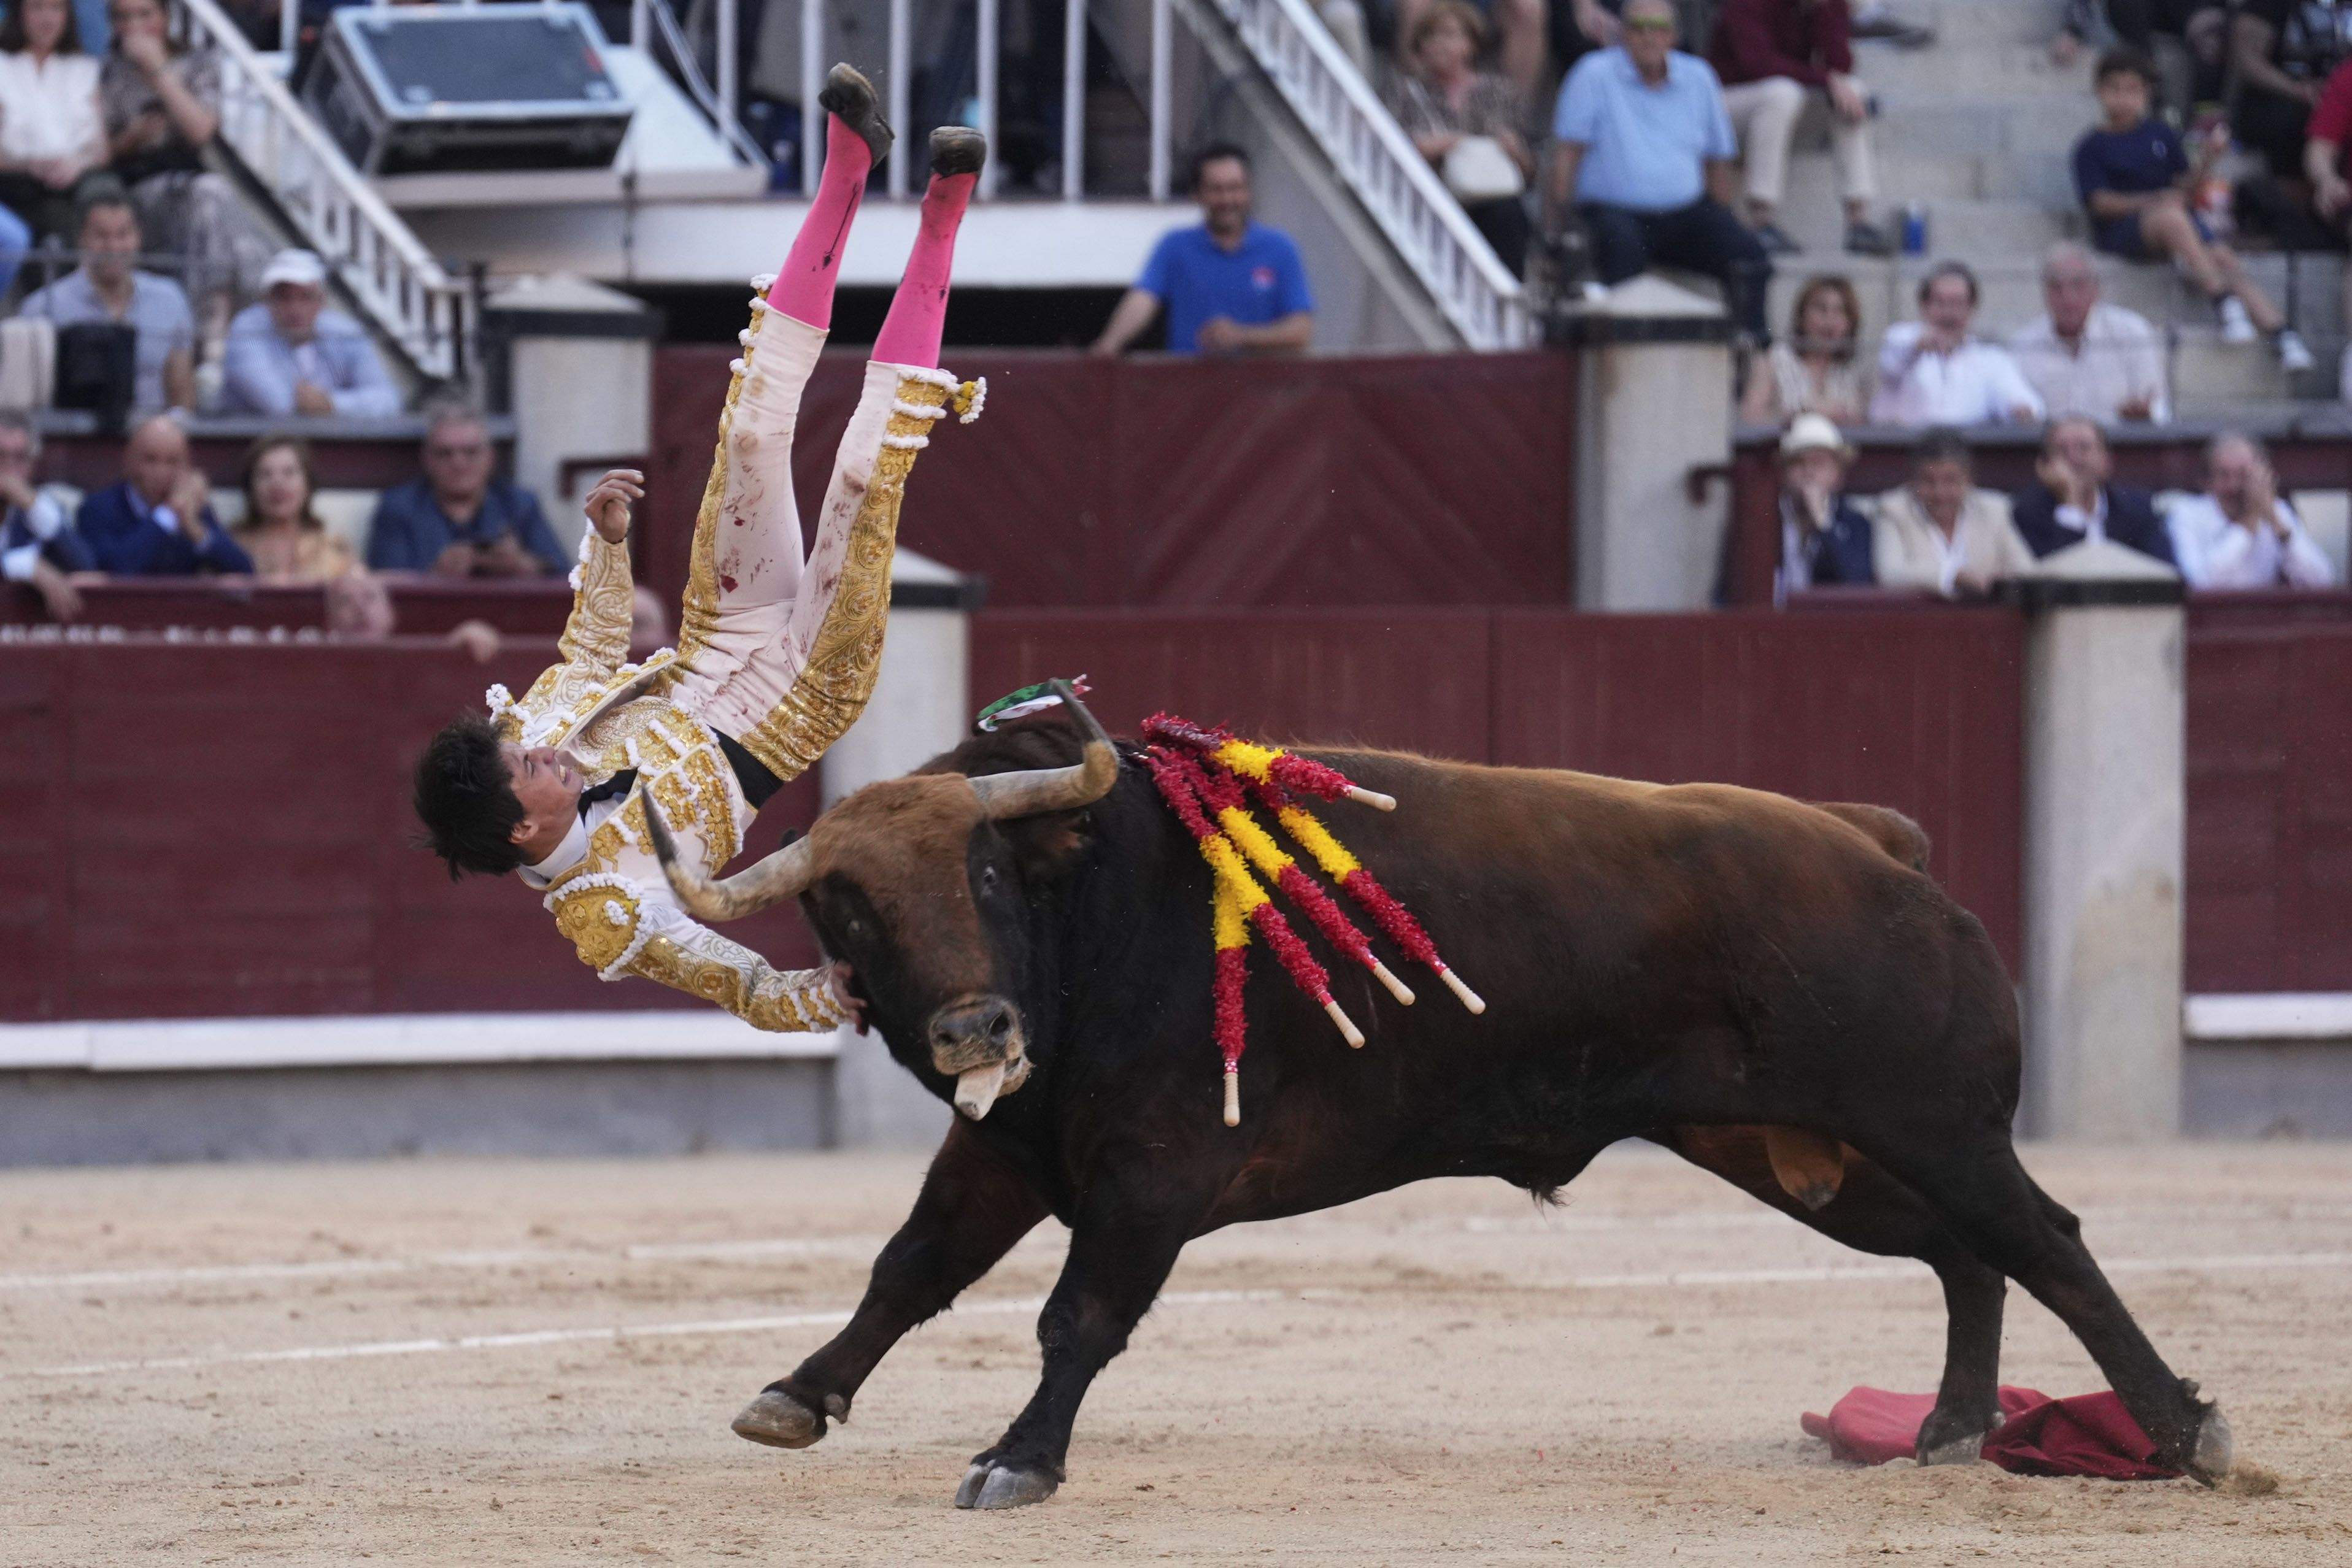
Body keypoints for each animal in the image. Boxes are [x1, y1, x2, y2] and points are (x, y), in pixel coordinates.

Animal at [649, 691, 2239, 1504]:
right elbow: (907, 1270)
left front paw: (1017, 1461)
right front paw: (795, 1396)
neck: (1094, 902)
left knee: (2045, 1243)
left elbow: (1074, 1316)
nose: (976, 1021)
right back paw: (1951, 1428)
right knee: (1964, 1256)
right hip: (1807, 1156)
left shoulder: (1151, 1174)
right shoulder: (1012, 1148)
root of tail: (1876, 846)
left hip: (1929, 1124)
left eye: (981, 875)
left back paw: (2180, 1434)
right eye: (850, 912)